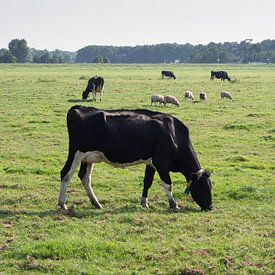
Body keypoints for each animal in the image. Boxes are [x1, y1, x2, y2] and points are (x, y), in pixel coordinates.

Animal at [58, 105, 213, 211]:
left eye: (210, 186)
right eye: (204, 187)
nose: (210, 206)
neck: (174, 133)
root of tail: (79, 108)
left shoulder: (151, 163)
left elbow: (147, 182)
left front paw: (144, 203)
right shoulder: (161, 162)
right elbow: (168, 184)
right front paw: (174, 204)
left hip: (87, 158)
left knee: (84, 177)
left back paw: (96, 203)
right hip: (76, 153)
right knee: (65, 174)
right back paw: (62, 204)